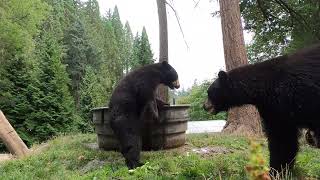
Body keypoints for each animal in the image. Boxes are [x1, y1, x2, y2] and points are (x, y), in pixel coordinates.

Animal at [204, 44, 320, 174]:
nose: (204, 106)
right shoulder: (278, 108)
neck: (263, 87)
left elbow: (280, 137)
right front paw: (280, 171)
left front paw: (274, 171)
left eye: (209, 92)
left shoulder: (288, 100)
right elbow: (285, 137)